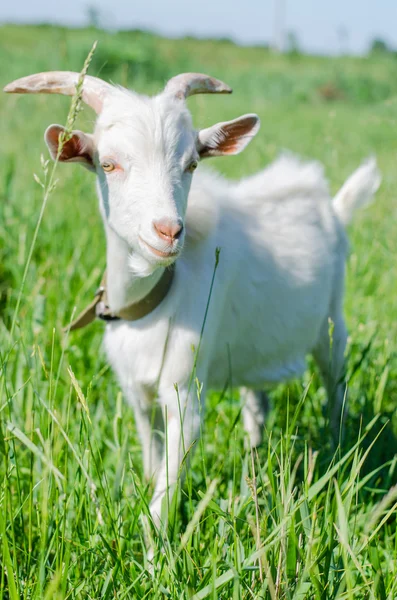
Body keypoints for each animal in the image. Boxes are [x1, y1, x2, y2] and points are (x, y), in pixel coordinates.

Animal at [3, 72, 380, 528]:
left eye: (192, 164)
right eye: (108, 163)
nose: (167, 231)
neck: (154, 300)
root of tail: (333, 205)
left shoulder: (184, 392)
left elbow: (166, 487)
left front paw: (152, 542)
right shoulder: (136, 391)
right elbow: (151, 457)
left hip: (332, 324)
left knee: (335, 383)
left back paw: (340, 446)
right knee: (257, 401)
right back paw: (255, 460)